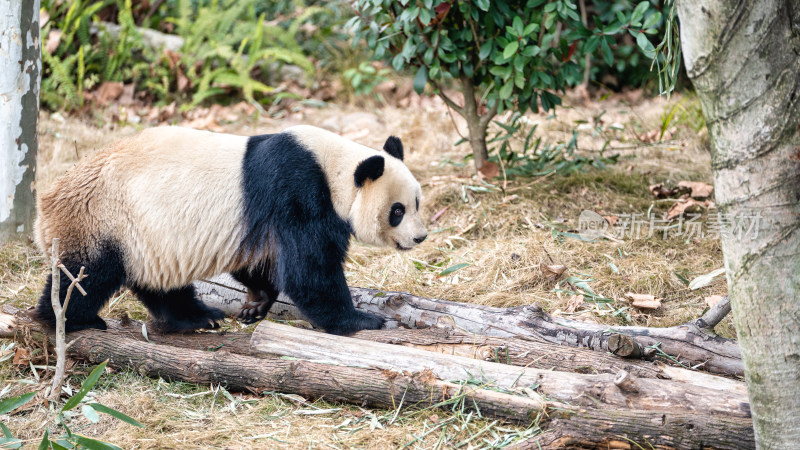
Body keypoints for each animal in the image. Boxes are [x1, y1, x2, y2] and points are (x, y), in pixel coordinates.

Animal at [33, 125, 428, 336]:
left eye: (417, 202)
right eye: (397, 211)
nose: (420, 238)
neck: (335, 168)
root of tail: (47, 205)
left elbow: (261, 260)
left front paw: (256, 304)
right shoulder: (298, 192)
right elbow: (309, 271)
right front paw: (362, 320)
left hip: (145, 238)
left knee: (159, 283)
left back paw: (199, 317)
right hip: (102, 219)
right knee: (87, 275)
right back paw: (72, 319)